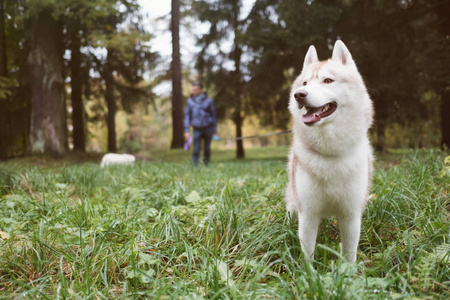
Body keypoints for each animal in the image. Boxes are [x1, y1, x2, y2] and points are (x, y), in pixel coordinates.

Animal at [286, 39, 374, 262]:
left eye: (327, 81)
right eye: (304, 84)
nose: (299, 95)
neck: (330, 154)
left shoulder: (351, 215)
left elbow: (349, 254)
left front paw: (348, 271)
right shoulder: (308, 214)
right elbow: (308, 254)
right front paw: (307, 271)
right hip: (293, 202)